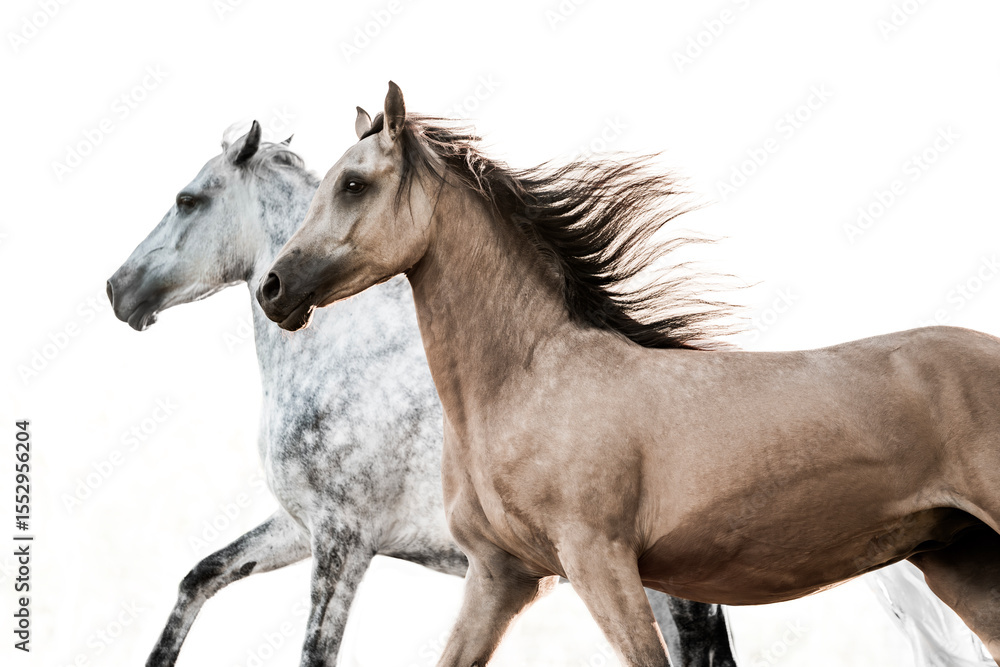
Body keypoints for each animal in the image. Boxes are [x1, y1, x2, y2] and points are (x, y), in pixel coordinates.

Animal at [105, 121, 737, 667]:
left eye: (187, 200)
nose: (118, 289)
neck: (342, 351)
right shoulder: (299, 526)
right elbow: (200, 577)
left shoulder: (343, 541)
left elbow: (315, 652)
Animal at [256, 82, 1000, 667]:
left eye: (353, 183)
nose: (273, 288)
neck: (526, 384)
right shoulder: (499, 577)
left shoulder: (600, 560)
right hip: (964, 565)